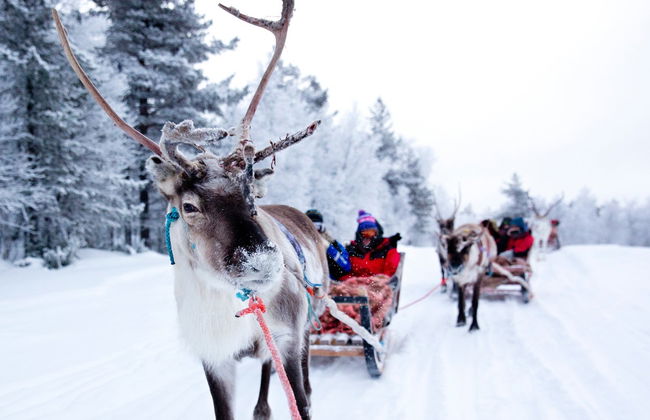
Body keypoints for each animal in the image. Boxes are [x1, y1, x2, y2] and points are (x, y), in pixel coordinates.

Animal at [53, 2, 328, 419]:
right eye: (188, 206)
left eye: (251, 195)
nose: (263, 261)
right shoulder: (214, 358)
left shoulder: (287, 336)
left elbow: (297, 401)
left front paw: (304, 397)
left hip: (314, 311)